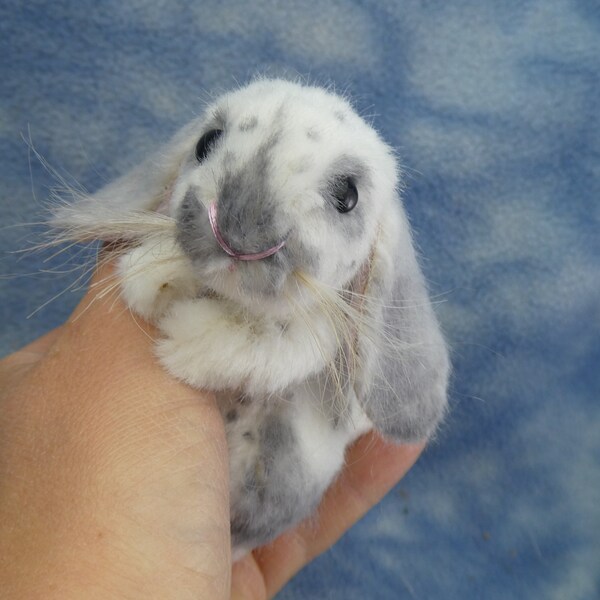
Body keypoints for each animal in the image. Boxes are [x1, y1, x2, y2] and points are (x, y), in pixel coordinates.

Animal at [51, 78, 448, 556]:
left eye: (348, 196)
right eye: (205, 142)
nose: (238, 230)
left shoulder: (312, 336)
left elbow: (278, 340)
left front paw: (187, 340)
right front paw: (157, 277)